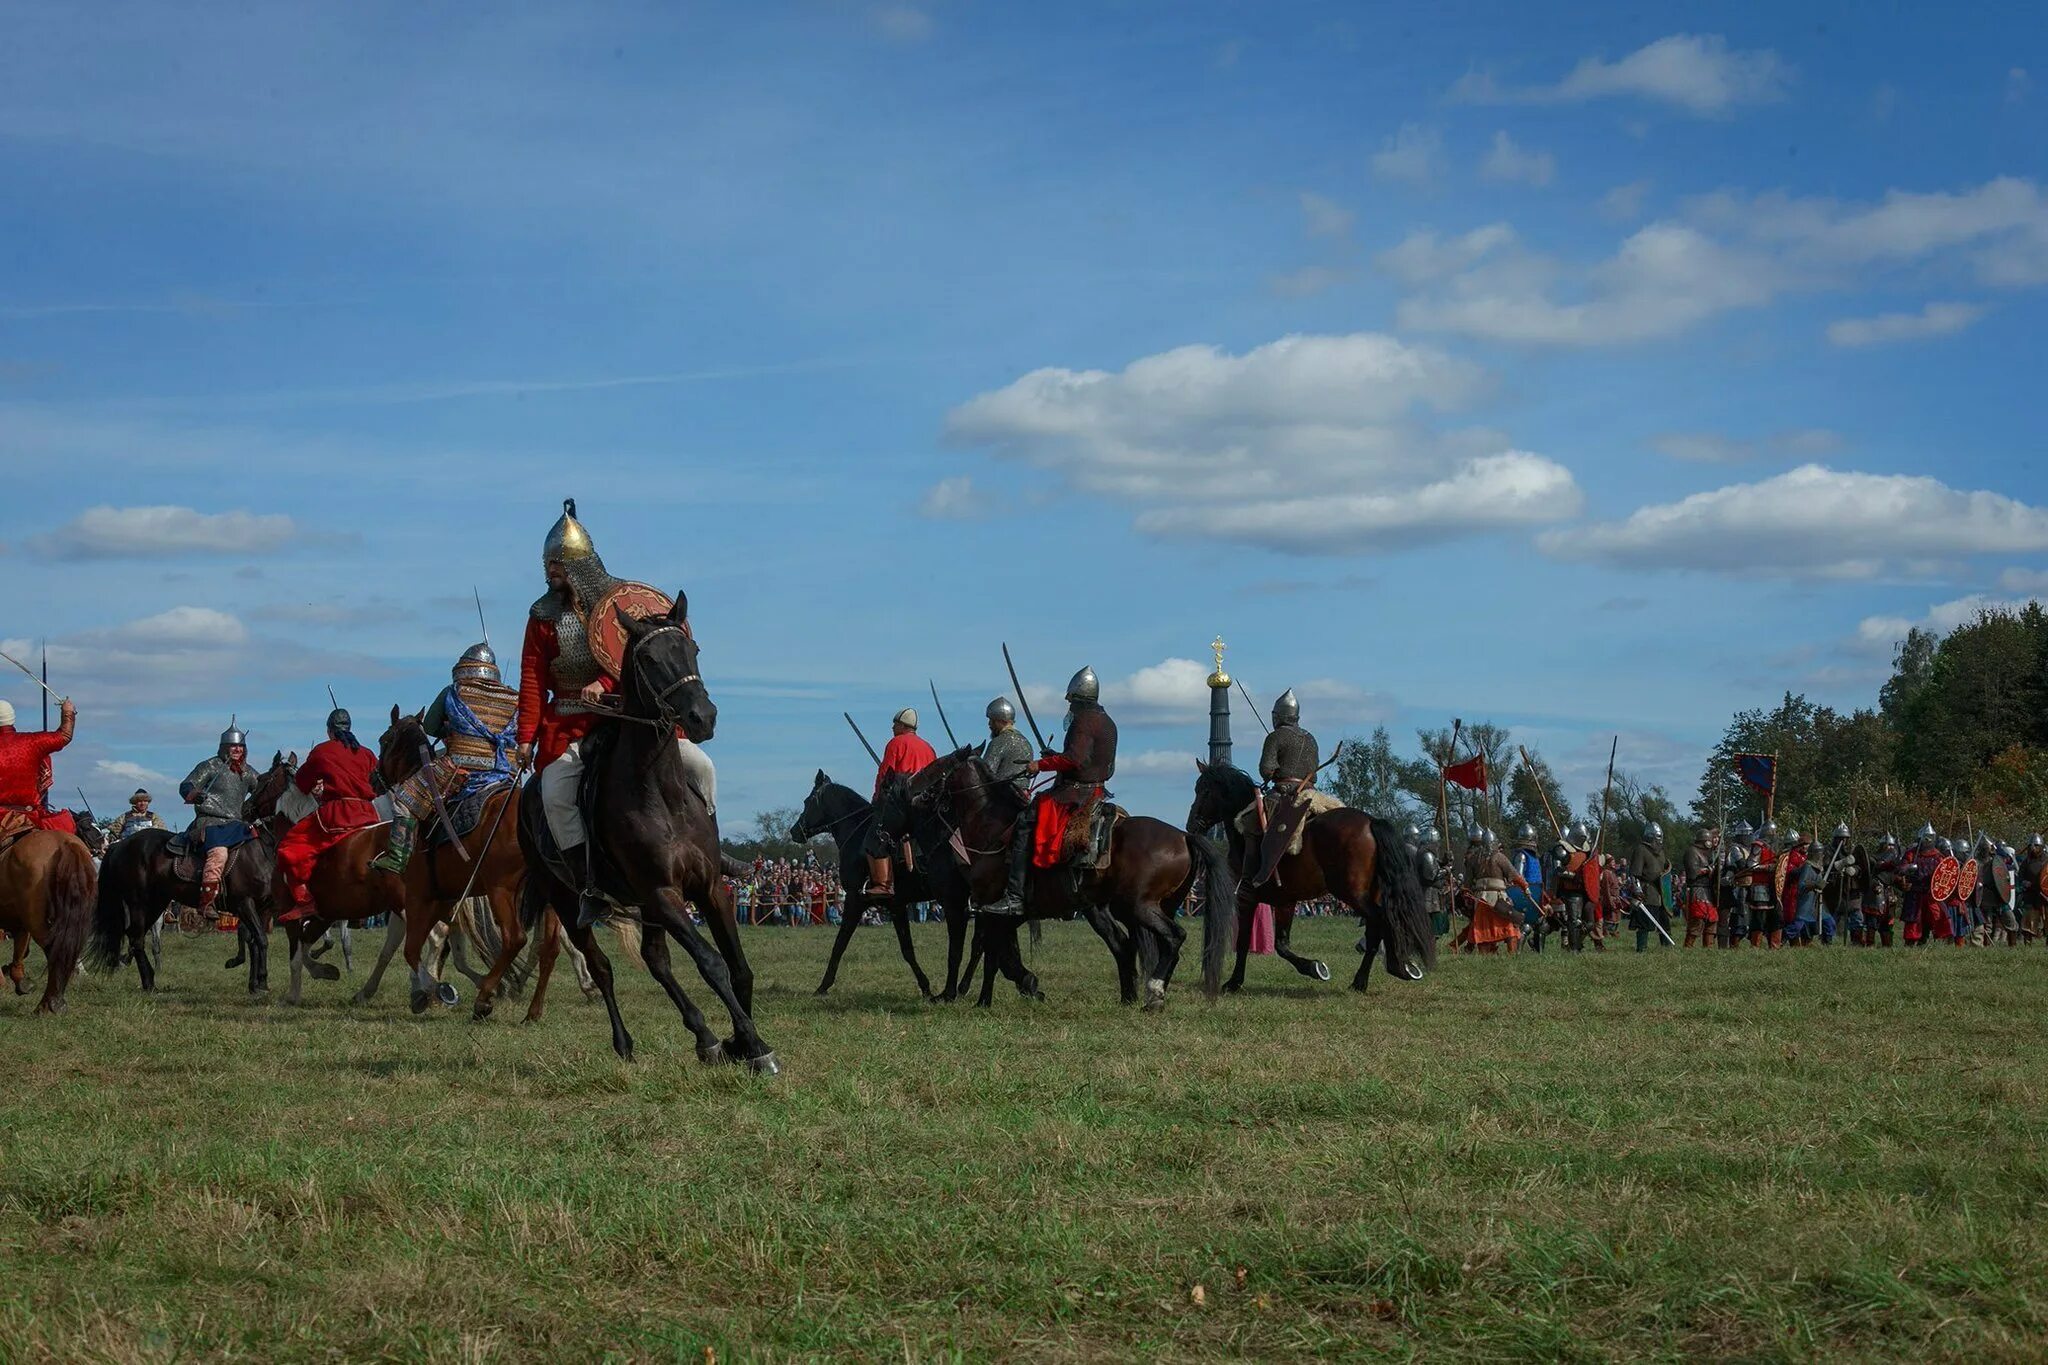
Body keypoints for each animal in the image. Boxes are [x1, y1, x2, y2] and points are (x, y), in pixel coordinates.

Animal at [0, 822, 95, 1015]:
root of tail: (63, 842)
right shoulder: (20, 924)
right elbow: (21, 950)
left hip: (36, 920)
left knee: (54, 951)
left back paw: (47, 1005)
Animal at [87, 753, 299, 998]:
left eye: (262, 780)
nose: (246, 808)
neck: (264, 848)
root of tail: (119, 845)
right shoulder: (245, 903)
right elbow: (260, 940)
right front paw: (261, 981)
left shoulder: (263, 908)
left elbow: (255, 940)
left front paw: (256, 984)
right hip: (138, 902)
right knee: (136, 938)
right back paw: (149, 982)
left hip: (156, 903)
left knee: (135, 937)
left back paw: (149, 979)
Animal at [520, 593, 774, 1072]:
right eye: (651, 659)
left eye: (693, 650)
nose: (702, 717)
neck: (663, 795)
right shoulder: (662, 894)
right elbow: (711, 962)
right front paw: (753, 1044)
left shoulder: (707, 888)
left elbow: (739, 966)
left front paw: (737, 1041)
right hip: (569, 901)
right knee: (603, 968)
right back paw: (625, 1042)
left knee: (657, 961)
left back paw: (704, 1037)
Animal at [786, 777, 978, 1002]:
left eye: (807, 802)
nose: (794, 831)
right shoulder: (897, 906)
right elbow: (907, 949)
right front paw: (925, 986)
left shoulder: (857, 900)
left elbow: (841, 943)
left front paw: (823, 986)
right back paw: (963, 986)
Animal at [1196, 757, 1433, 994]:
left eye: (1203, 791)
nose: (1193, 824)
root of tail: (1371, 821)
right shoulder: (1286, 901)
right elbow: (1281, 944)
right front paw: (1314, 968)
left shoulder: (1246, 898)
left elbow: (1244, 941)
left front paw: (1233, 982)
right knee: (1377, 927)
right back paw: (1371, 977)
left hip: (1351, 893)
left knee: (1379, 920)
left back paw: (1388, 969)